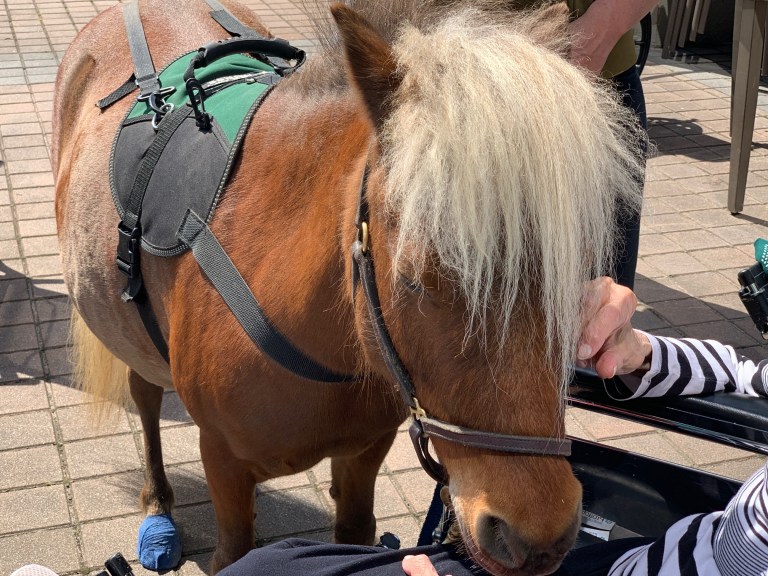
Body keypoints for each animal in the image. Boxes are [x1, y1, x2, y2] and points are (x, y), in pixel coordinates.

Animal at [52, 2, 640, 572]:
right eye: (414, 281)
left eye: (576, 274)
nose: (537, 537)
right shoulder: (221, 459)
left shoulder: (364, 454)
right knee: (145, 395)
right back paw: (157, 504)